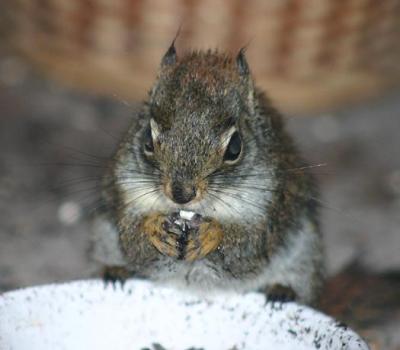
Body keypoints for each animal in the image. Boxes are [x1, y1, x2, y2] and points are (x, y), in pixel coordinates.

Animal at [89, 42, 324, 306]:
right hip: (103, 236)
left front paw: (211, 235)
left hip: (304, 252)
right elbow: (130, 237)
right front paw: (155, 228)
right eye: (147, 140)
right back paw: (116, 270)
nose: (180, 194)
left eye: (235, 147)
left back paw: (282, 290)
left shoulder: (271, 206)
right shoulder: (124, 188)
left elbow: (248, 246)